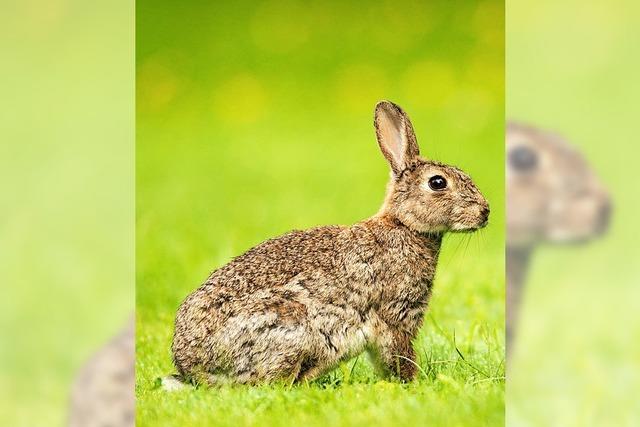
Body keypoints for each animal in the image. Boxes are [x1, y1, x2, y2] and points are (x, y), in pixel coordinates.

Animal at [170, 102, 490, 386]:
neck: (404, 226)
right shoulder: (395, 318)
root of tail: (192, 367)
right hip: (289, 327)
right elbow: (398, 357)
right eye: (437, 183)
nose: (485, 212)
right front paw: (413, 383)